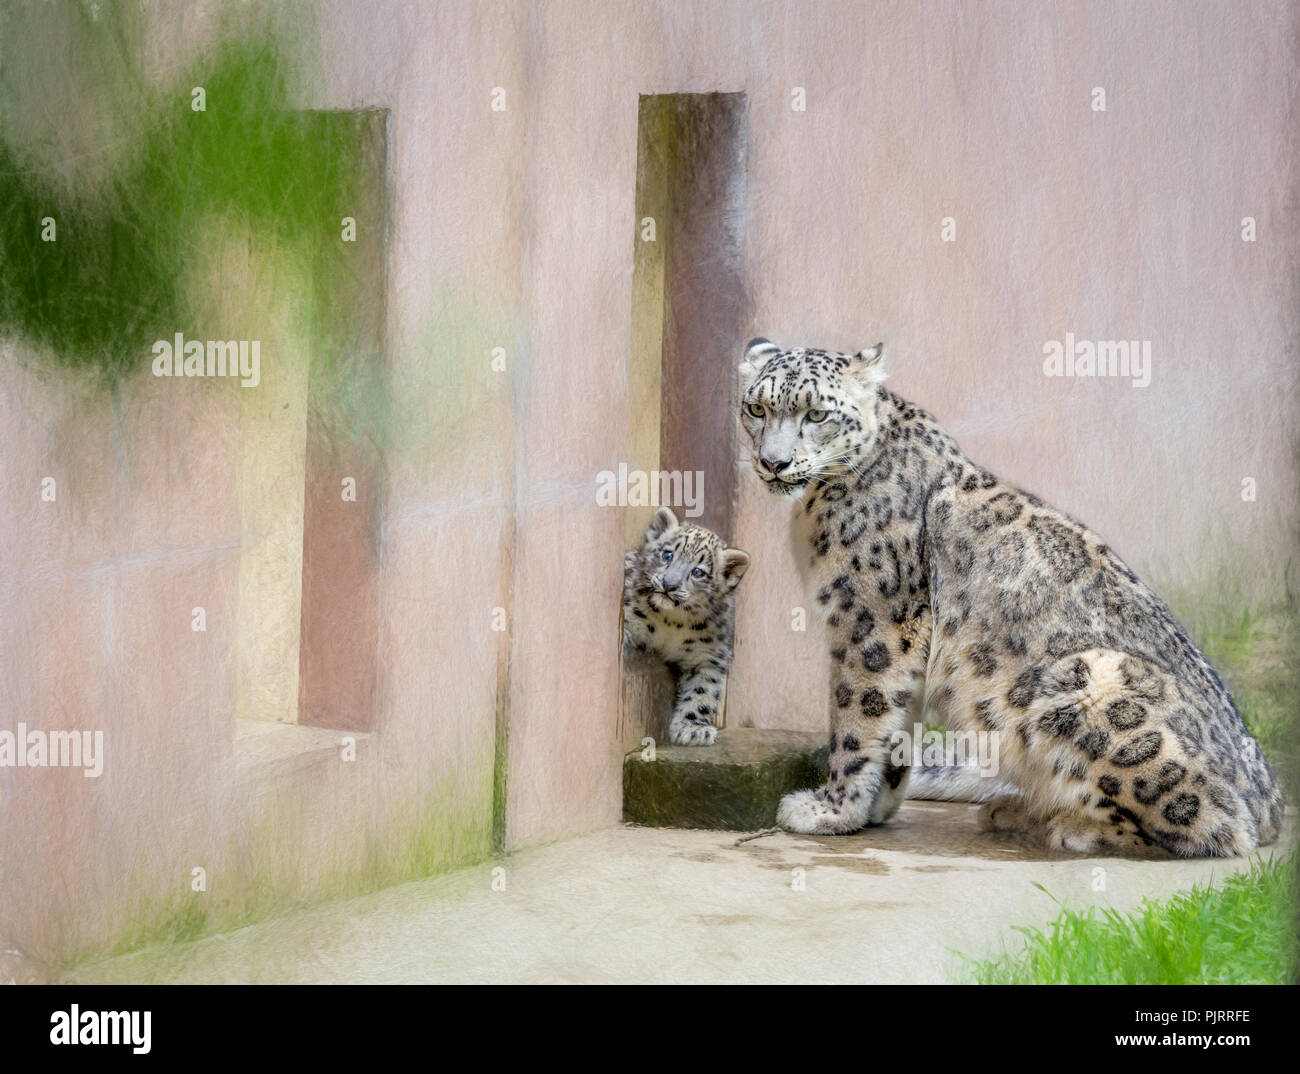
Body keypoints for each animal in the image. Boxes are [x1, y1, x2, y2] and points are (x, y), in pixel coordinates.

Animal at [738, 335, 1284, 852]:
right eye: (756, 408)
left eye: (817, 413)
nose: (773, 462)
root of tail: (1272, 804)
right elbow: (896, 726)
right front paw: (871, 810)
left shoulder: (872, 622)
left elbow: (858, 716)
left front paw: (830, 810)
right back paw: (1015, 809)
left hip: (1090, 681)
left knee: (1214, 823)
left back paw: (1061, 824)